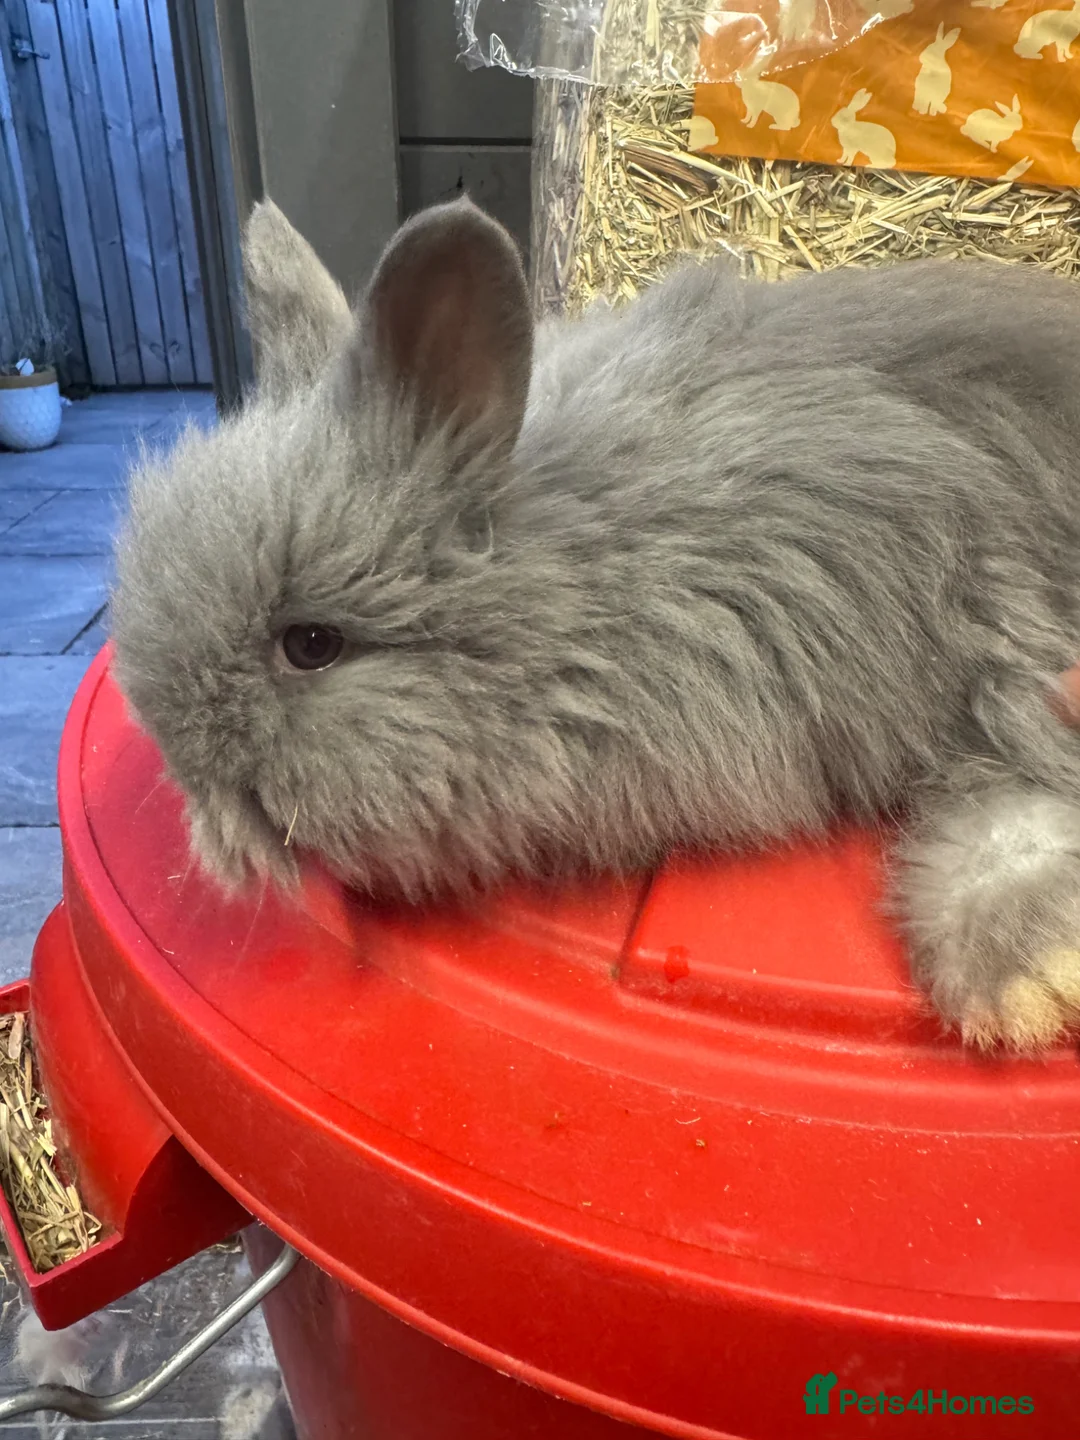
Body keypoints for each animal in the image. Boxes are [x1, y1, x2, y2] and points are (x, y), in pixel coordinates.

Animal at [113, 195, 1080, 1054]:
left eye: (311, 645)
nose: (190, 783)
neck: (583, 587)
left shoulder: (985, 629)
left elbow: (1015, 802)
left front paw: (1023, 992)